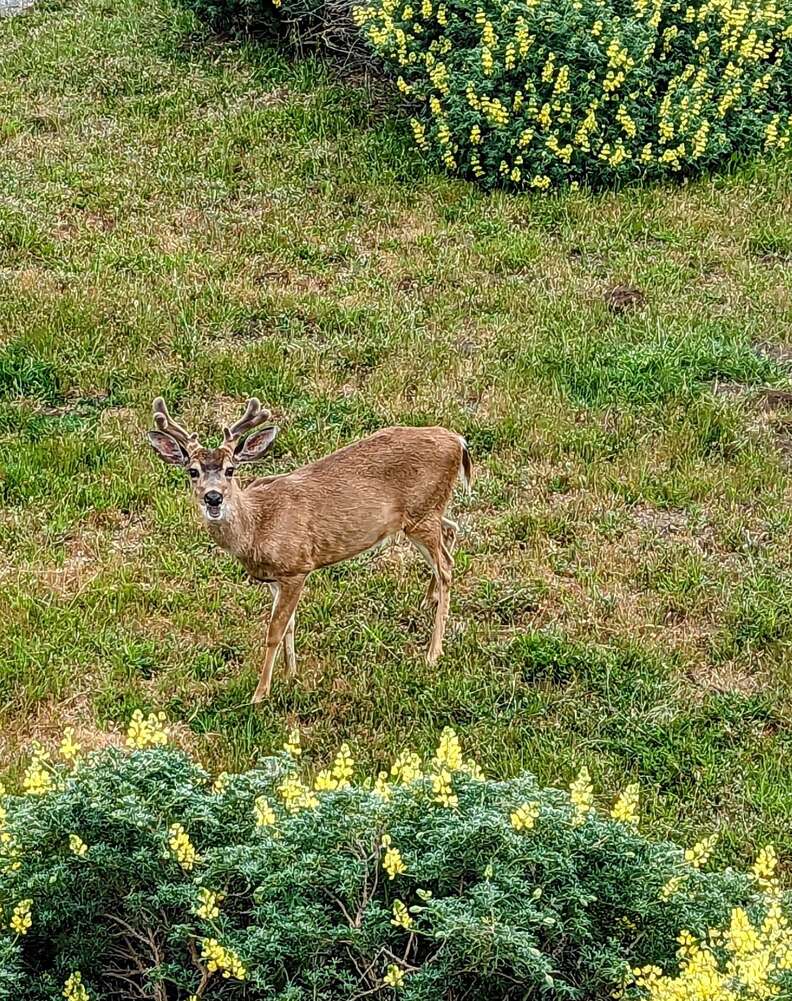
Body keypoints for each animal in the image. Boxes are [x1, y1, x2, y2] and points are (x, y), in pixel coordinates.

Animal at [148, 394, 470, 700]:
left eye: (230, 470)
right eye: (192, 471)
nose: (213, 497)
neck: (257, 527)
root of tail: (458, 440)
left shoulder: (297, 567)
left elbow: (274, 630)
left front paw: (260, 693)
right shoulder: (275, 579)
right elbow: (289, 624)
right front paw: (291, 674)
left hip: (422, 512)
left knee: (446, 566)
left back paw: (433, 653)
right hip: (425, 514)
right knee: (451, 531)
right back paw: (428, 601)